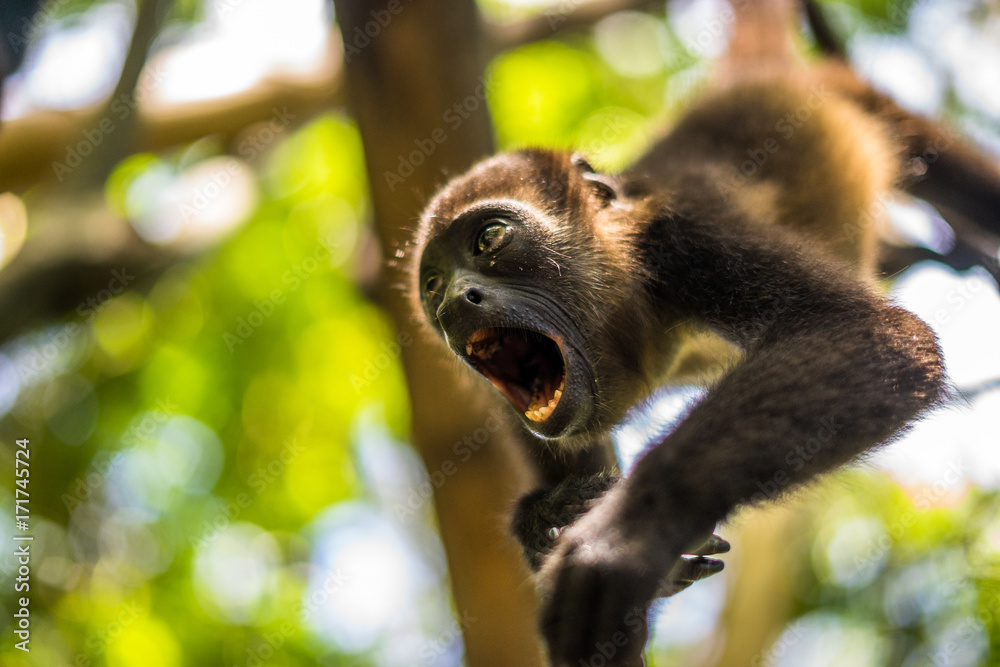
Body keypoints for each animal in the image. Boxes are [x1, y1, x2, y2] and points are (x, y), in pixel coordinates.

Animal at [408, 1, 1000, 667]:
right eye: (432, 283)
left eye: (489, 238)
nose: (454, 304)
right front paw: (542, 523)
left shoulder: (688, 233)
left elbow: (880, 336)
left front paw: (631, 532)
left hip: (860, 98)